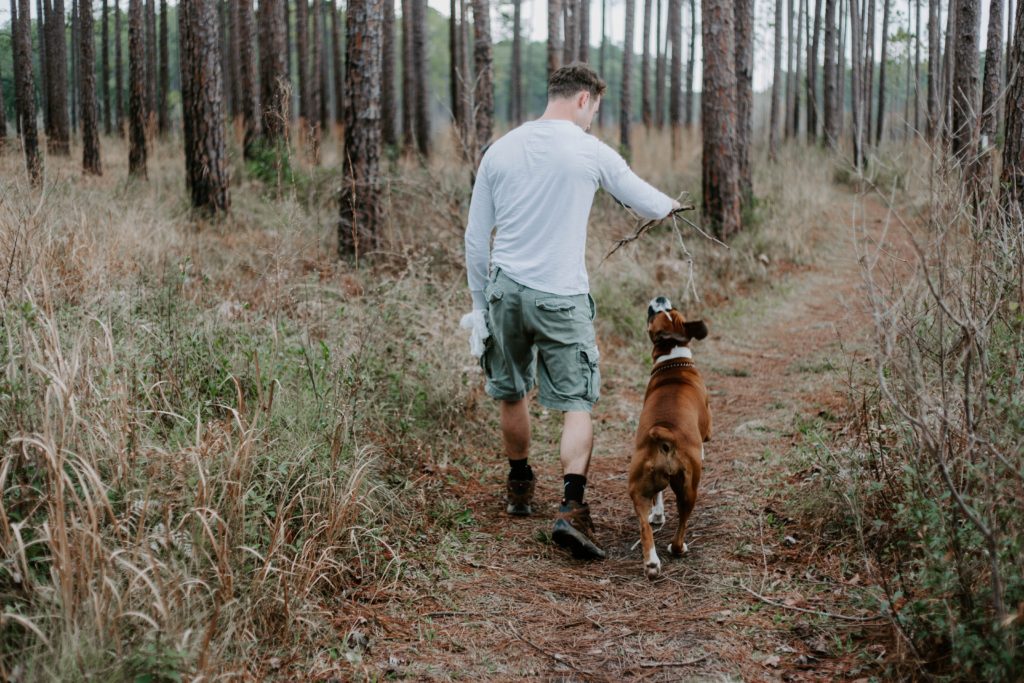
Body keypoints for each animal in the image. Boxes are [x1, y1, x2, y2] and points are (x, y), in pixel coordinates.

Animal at [626, 296, 708, 581]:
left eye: (670, 309)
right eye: (656, 313)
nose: (660, 299)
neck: (673, 358)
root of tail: (663, 433)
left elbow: (658, 497)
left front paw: (658, 515)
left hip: (637, 487)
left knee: (644, 526)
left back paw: (652, 563)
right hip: (689, 488)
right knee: (682, 523)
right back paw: (678, 548)